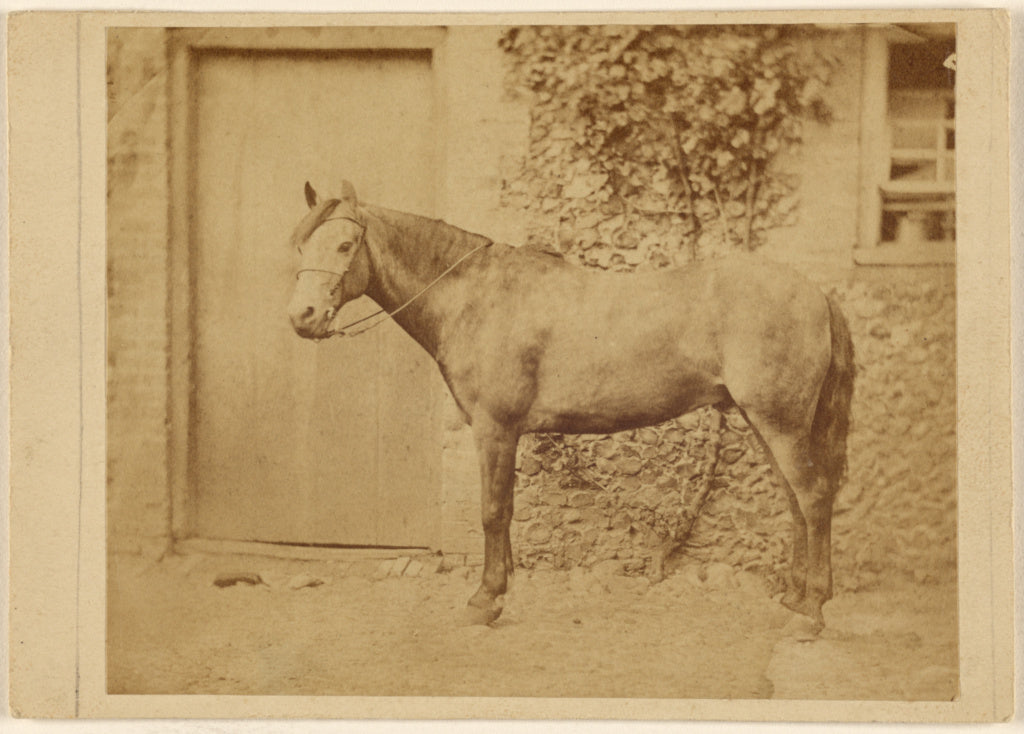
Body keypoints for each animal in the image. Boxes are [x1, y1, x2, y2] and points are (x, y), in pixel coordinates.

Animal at [287, 180, 855, 633]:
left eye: (345, 244)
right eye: (299, 244)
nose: (302, 316)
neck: (477, 297)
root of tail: (817, 293)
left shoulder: (494, 429)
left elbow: (492, 512)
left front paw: (483, 601)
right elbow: (505, 512)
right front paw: (499, 589)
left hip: (779, 422)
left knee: (812, 497)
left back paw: (811, 611)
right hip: (764, 422)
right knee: (795, 501)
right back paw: (793, 598)